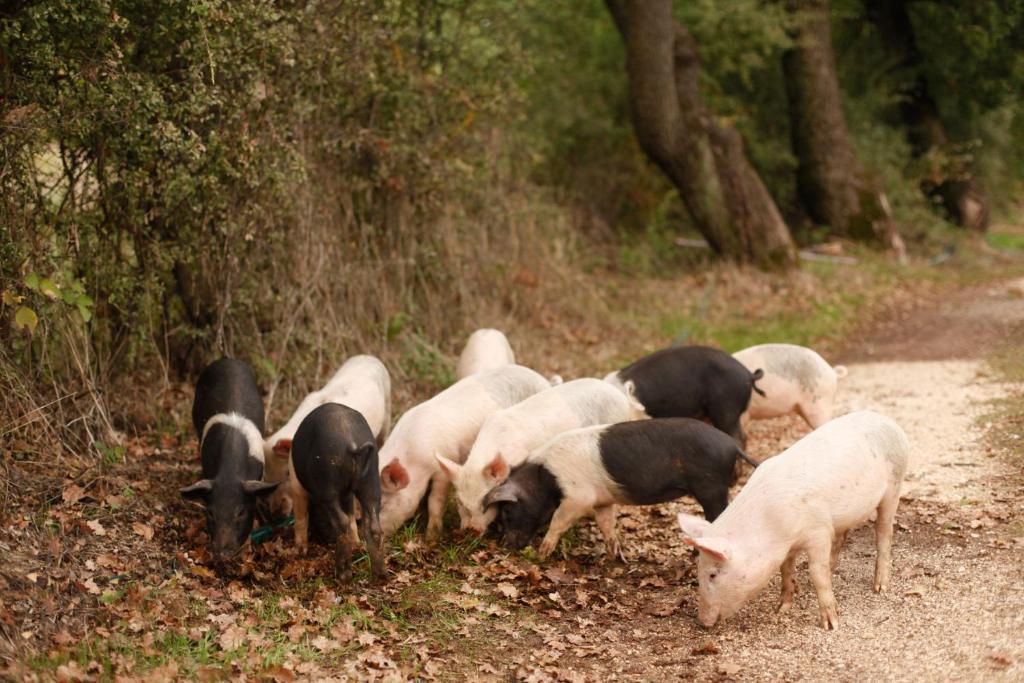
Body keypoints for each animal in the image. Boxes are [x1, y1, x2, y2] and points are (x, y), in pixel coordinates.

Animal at [290, 403, 385, 585]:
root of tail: (351, 443)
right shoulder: (348, 494)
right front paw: (357, 545)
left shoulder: (298, 486)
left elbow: (300, 516)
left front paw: (299, 550)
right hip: (372, 478)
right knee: (372, 524)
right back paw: (379, 575)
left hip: (328, 485)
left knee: (342, 522)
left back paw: (342, 576)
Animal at [483, 421, 757, 561]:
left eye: (506, 512)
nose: (505, 545)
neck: (545, 477)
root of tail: (732, 446)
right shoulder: (603, 501)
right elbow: (607, 525)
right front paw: (614, 557)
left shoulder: (578, 497)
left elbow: (558, 520)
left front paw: (542, 555)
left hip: (711, 487)